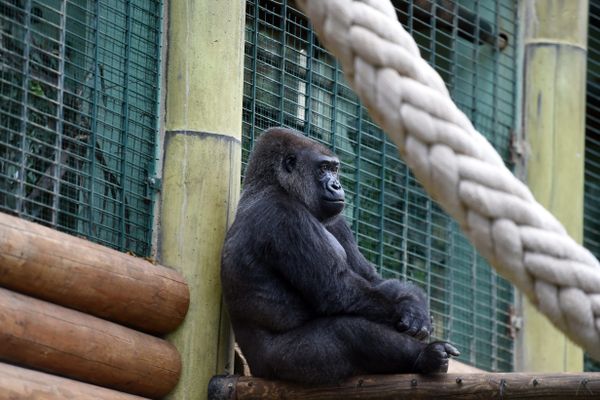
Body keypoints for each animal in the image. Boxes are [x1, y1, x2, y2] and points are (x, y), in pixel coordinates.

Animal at [220, 126, 460, 382]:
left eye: (334, 169)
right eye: (323, 168)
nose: (336, 186)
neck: (271, 184)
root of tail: (254, 370)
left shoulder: (336, 219)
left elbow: (372, 278)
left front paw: (415, 304)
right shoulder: (283, 215)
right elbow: (335, 289)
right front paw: (406, 312)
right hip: (277, 366)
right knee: (349, 331)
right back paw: (426, 356)